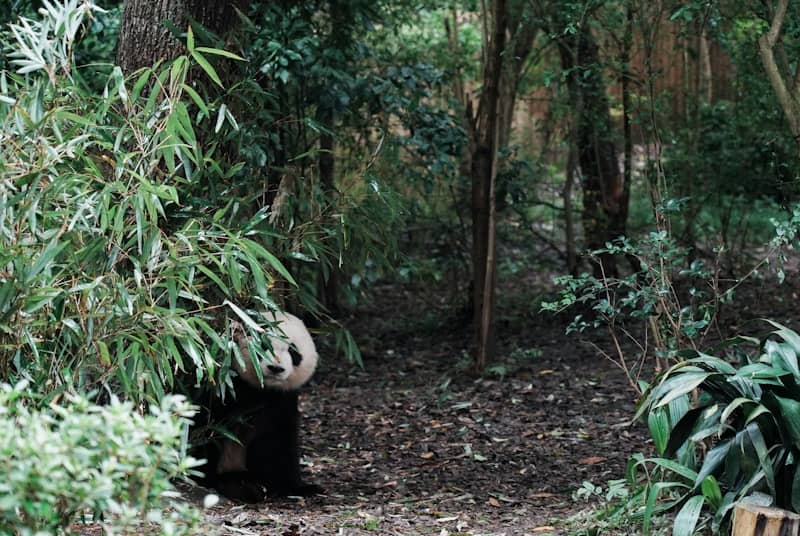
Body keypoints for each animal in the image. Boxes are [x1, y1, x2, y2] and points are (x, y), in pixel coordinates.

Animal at [198, 310, 322, 503]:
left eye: (293, 351)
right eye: (262, 344)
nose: (275, 368)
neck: (262, 389)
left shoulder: (282, 401)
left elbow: (280, 442)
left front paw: (298, 487)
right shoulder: (224, 388)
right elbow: (207, 428)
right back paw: (240, 486)